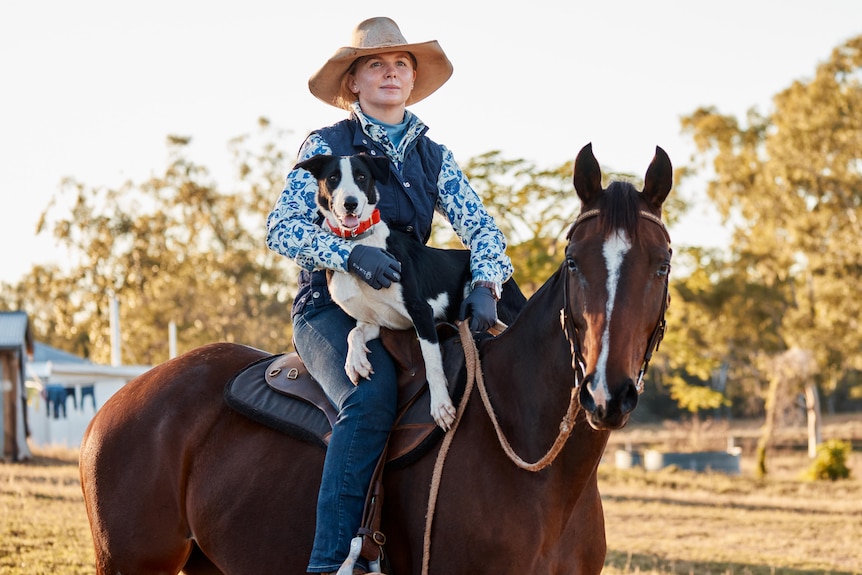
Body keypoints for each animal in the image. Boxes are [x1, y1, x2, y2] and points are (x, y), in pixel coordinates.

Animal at [298, 154, 512, 432]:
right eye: (333, 177)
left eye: (362, 176)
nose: (350, 203)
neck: (359, 243)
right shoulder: (373, 322)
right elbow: (353, 334)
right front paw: (355, 362)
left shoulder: (421, 312)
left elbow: (431, 363)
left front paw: (441, 406)